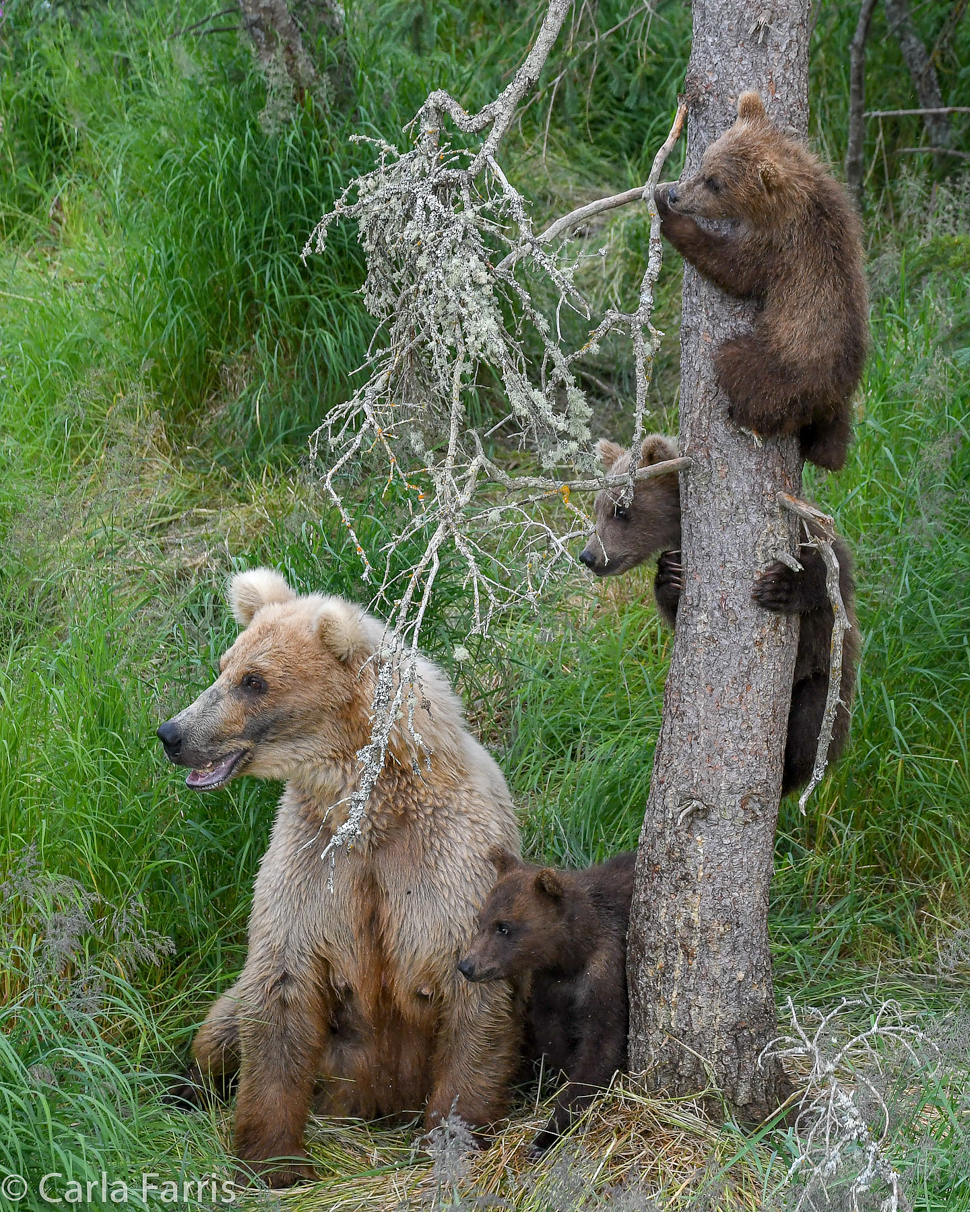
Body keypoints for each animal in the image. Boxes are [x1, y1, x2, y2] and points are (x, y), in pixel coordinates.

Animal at [157, 572, 523, 1187]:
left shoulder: (448, 861)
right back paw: (183, 1086)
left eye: (254, 681)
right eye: (224, 665)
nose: (172, 733)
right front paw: (273, 1159)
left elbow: (475, 991)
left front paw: (450, 1137)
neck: (369, 805)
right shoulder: (314, 861)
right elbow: (280, 985)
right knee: (224, 1022)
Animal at [577, 441, 858, 799]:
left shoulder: (810, 529)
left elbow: (834, 572)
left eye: (621, 510)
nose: (589, 556)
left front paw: (780, 586)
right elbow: (674, 607)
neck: (679, 530)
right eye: (597, 507)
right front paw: (669, 577)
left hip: (824, 679)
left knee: (810, 732)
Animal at [654, 88, 868, 467]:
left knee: (738, 366)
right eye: (704, 161)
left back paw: (741, 415)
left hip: (783, 366)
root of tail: (833, 397)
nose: (677, 195)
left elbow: (734, 269)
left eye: (715, 183)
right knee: (832, 447)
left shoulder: (780, 248)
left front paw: (670, 216)